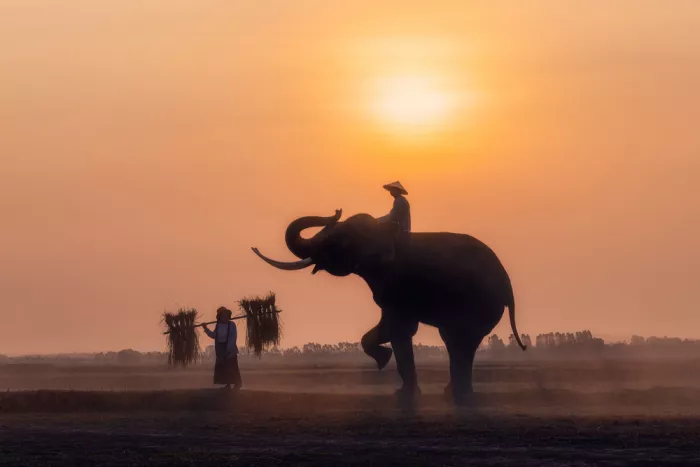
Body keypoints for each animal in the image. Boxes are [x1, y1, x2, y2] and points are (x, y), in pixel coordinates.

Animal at [252, 209, 525, 405]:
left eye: (335, 241)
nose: (336, 211)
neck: (382, 231)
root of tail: (509, 286)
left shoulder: (398, 283)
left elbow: (400, 328)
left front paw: (395, 381)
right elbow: (391, 328)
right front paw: (388, 367)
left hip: (480, 302)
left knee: (461, 340)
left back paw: (459, 395)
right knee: (453, 340)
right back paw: (454, 393)